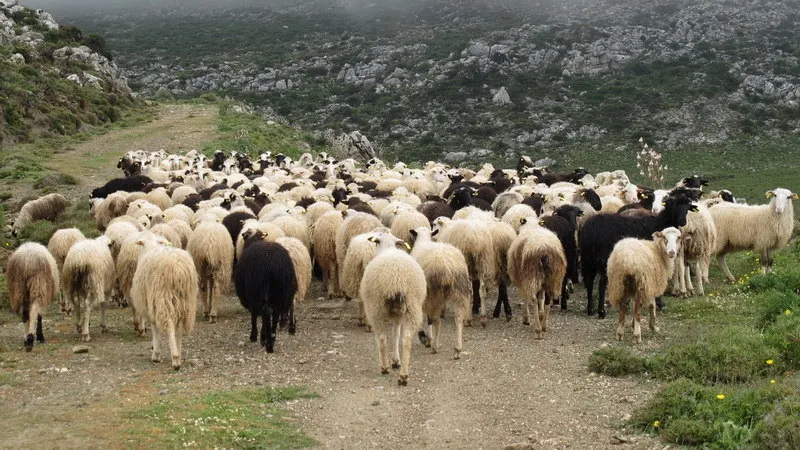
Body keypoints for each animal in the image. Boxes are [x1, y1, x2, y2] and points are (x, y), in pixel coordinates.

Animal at [131, 239, 198, 370]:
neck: (151, 247)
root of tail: (178, 268)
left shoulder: (151, 304)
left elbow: (155, 327)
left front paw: (156, 354)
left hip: (164, 296)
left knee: (170, 325)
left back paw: (175, 359)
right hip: (185, 300)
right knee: (180, 327)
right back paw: (179, 353)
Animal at [360, 234, 428, 384]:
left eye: (376, 242)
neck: (387, 248)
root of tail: (396, 280)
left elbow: (386, 336)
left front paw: (390, 362)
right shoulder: (398, 316)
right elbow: (396, 334)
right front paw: (396, 361)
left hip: (376, 307)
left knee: (382, 338)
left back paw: (384, 368)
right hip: (412, 307)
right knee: (406, 339)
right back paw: (403, 376)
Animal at [410, 229, 472, 358]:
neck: (423, 240)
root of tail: (447, 266)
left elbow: (426, 319)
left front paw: (427, 338)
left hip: (433, 294)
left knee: (436, 320)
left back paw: (434, 346)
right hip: (460, 290)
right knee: (458, 318)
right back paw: (457, 349)